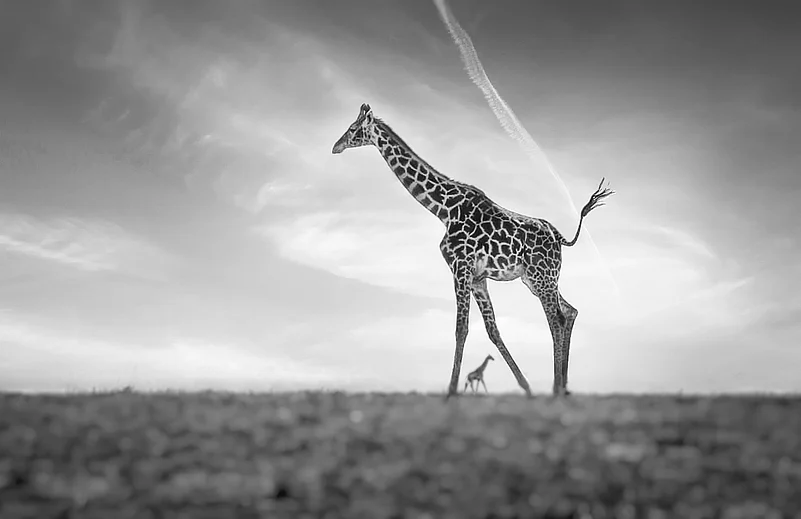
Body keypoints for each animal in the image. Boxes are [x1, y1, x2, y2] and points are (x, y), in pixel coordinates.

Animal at [332, 103, 614, 398]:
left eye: (353, 129)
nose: (335, 147)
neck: (443, 209)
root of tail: (560, 238)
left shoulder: (461, 266)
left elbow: (461, 328)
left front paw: (451, 391)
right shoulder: (478, 277)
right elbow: (492, 331)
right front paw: (525, 386)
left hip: (542, 276)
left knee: (556, 318)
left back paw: (557, 387)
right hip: (537, 279)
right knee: (570, 312)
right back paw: (564, 388)